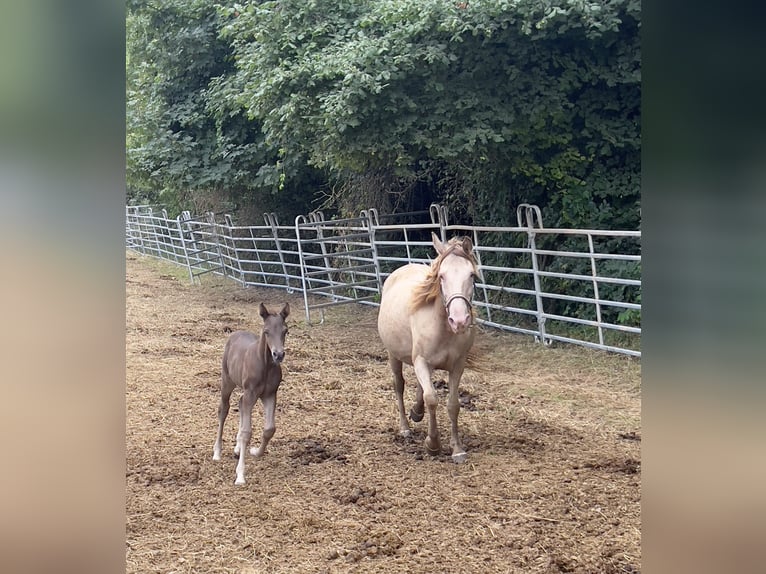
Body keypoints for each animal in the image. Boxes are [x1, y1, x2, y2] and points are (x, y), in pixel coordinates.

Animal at [213, 302, 292, 486]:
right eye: (266, 331)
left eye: (285, 331)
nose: (278, 354)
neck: (265, 365)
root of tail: (235, 333)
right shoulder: (251, 393)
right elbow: (247, 433)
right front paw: (240, 475)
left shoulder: (270, 394)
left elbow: (269, 429)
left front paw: (255, 451)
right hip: (227, 381)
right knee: (224, 409)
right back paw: (217, 452)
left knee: (240, 404)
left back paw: (236, 448)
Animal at [380, 234, 480, 464]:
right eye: (441, 276)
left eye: (471, 275)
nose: (459, 321)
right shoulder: (421, 361)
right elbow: (432, 399)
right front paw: (433, 444)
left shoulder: (457, 365)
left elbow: (453, 404)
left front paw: (457, 449)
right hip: (394, 355)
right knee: (399, 386)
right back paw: (405, 428)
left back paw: (417, 412)